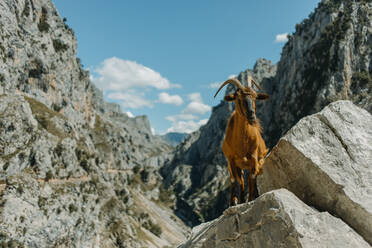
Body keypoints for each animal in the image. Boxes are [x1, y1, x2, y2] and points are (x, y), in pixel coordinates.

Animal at [214, 77, 268, 205]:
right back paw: (240, 199)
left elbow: (252, 177)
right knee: (241, 180)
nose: (251, 115)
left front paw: (251, 198)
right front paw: (233, 201)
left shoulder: (254, 159)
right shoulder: (231, 160)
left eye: (255, 97)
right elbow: (235, 180)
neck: (241, 144)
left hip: (258, 161)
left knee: (250, 177)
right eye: (238, 97)